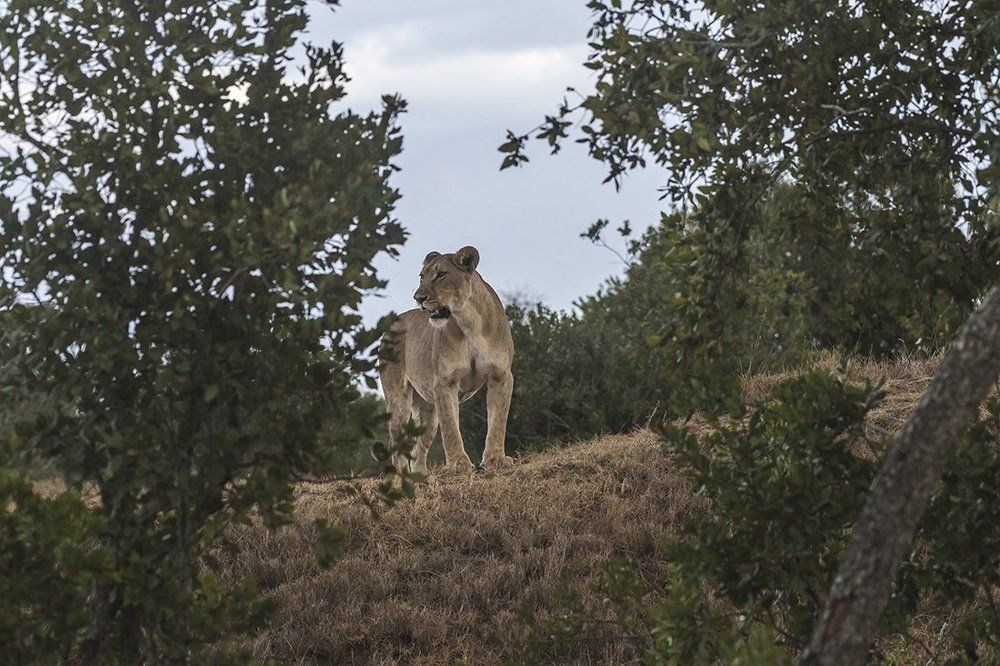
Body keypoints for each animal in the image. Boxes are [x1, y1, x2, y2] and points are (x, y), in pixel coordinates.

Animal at [377, 245, 514, 474]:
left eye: (441, 274)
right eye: (422, 276)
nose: (418, 297)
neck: (469, 323)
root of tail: (392, 324)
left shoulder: (501, 375)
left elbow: (498, 421)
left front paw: (495, 459)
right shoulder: (444, 382)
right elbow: (451, 427)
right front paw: (458, 463)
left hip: (428, 411)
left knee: (418, 449)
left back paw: (420, 476)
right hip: (398, 400)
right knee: (398, 448)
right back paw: (401, 479)